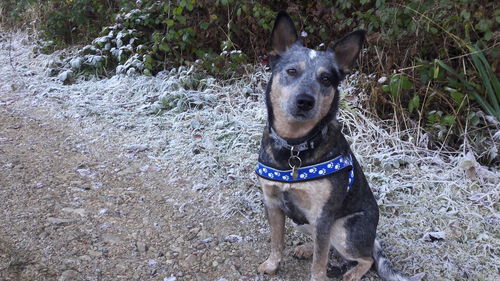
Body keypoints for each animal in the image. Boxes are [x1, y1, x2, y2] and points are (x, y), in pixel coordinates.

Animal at [254, 10, 422, 280]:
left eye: (326, 78)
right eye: (291, 71)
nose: (305, 101)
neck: (295, 147)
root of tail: (373, 238)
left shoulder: (323, 215)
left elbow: (319, 263)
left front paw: (317, 275)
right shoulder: (273, 202)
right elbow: (276, 241)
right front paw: (272, 265)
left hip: (342, 228)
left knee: (365, 258)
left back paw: (352, 273)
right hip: (306, 222)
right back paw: (306, 248)